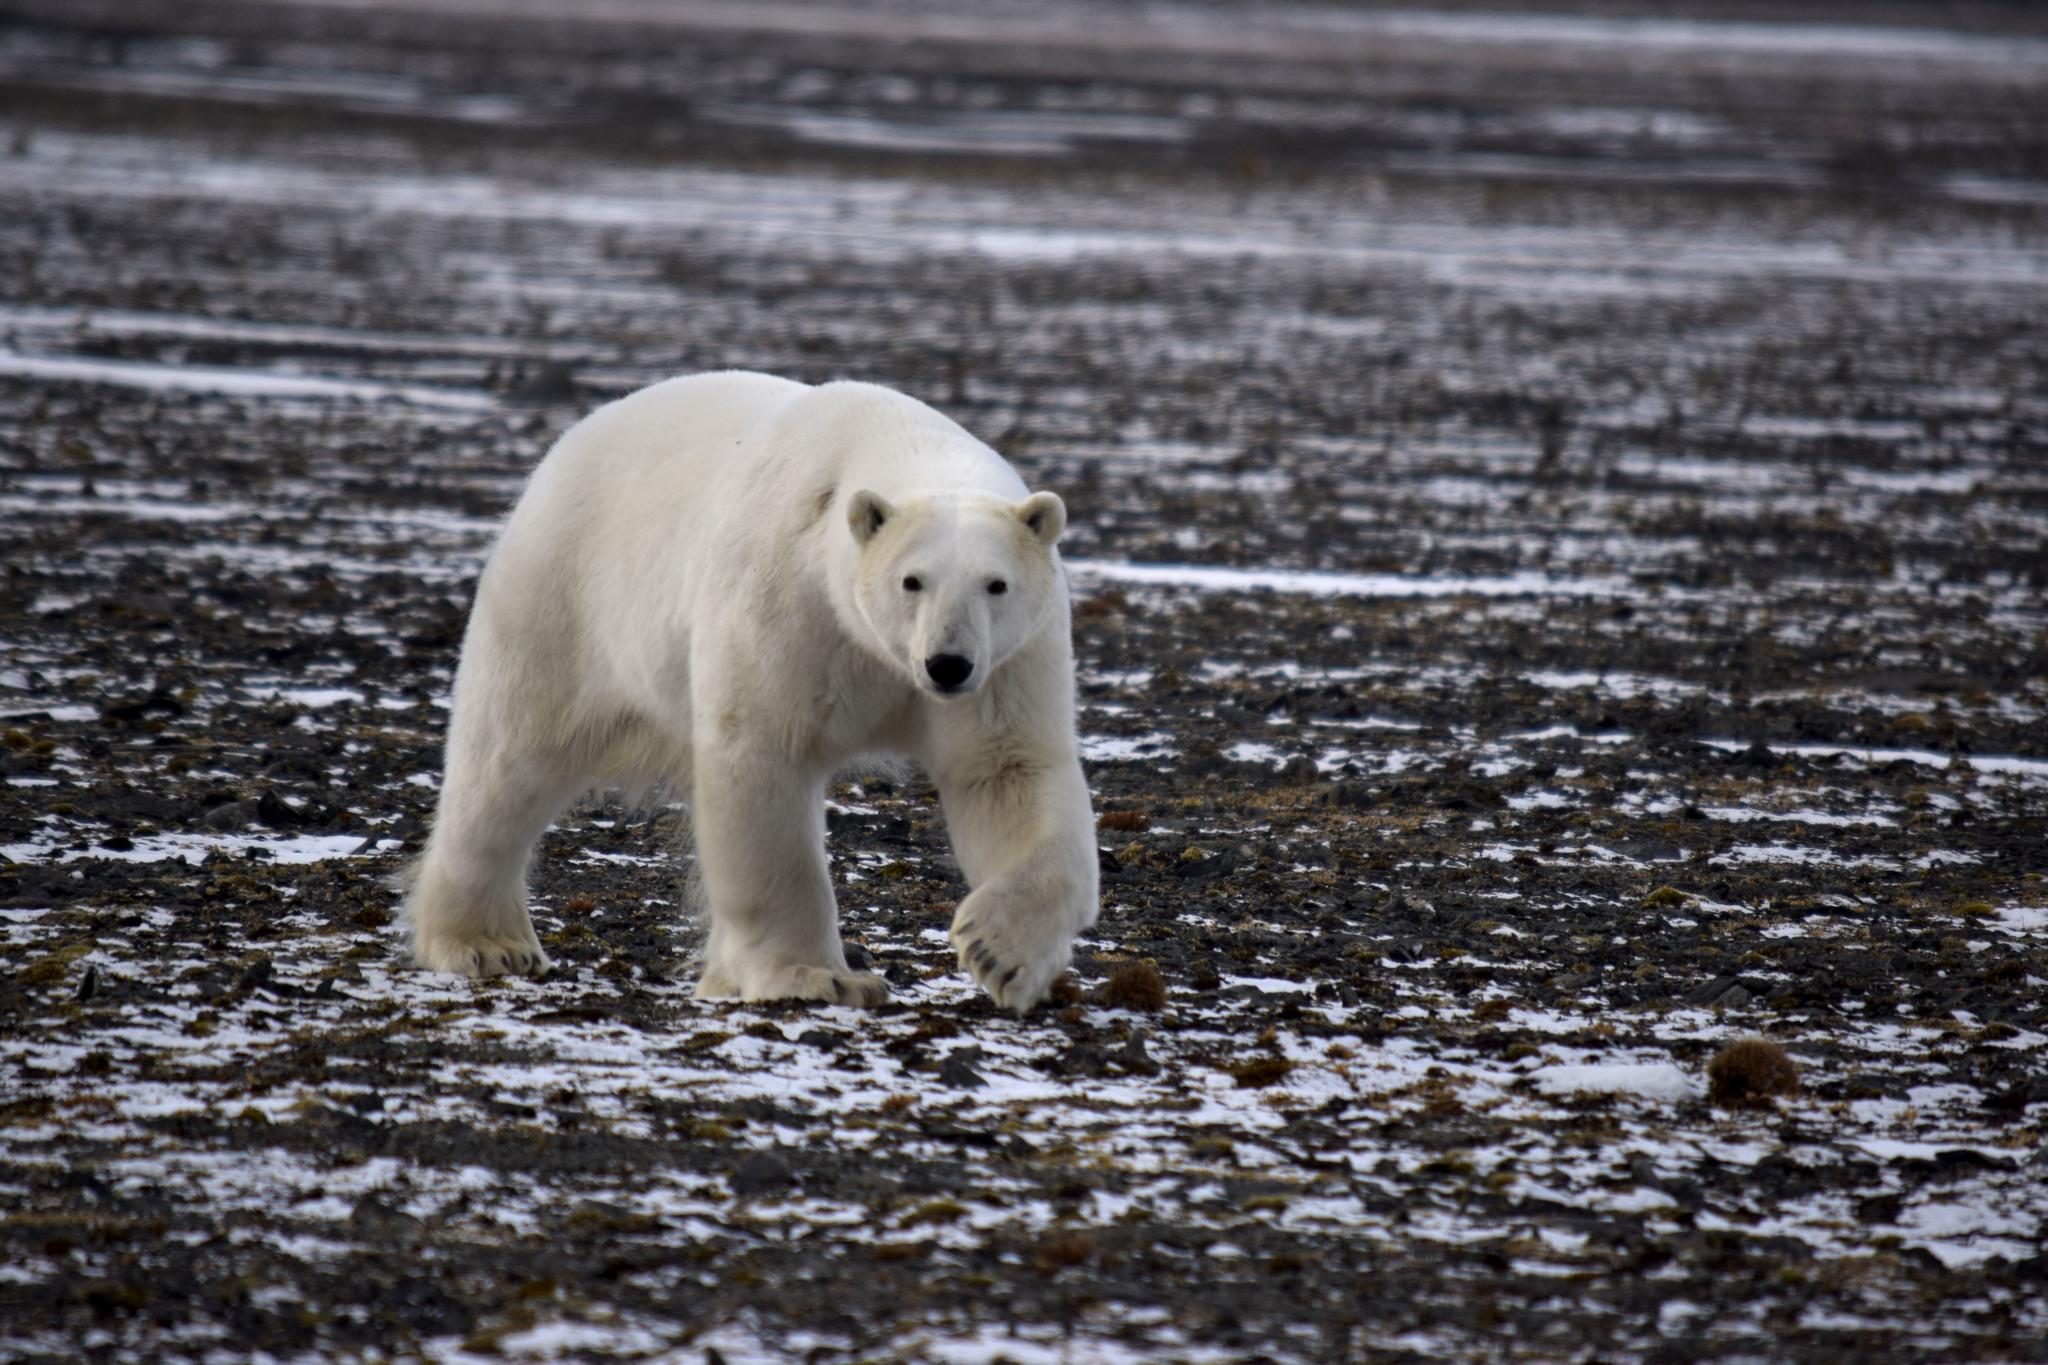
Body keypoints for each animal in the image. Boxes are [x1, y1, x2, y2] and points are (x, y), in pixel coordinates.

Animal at [404, 371, 1100, 1014]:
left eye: (996, 584)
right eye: (912, 580)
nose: (947, 664)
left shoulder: (1011, 657)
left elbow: (1006, 771)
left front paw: (1000, 952)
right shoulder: (786, 601)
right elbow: (764, 762)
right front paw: (820, 976)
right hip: (563, 597)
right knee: (509, 760)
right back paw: (486, 943)